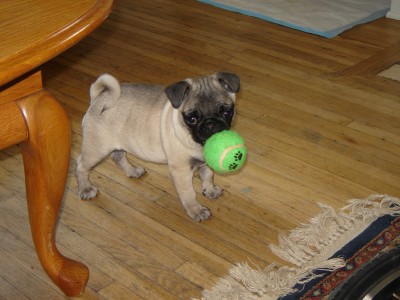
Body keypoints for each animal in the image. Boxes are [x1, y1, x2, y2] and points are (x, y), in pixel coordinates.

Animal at [76, 72, 241, 221]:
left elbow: (208, 176)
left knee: (118, 156)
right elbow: (189, 193)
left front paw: (210, 190)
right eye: (192, 119)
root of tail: (99, 98)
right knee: (81, 165)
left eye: (226, 112)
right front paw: (196, 211)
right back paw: (86, 189)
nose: (210, 125)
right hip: (97, 149)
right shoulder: (181, 171)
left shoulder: (205, 162)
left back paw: (132, 171)